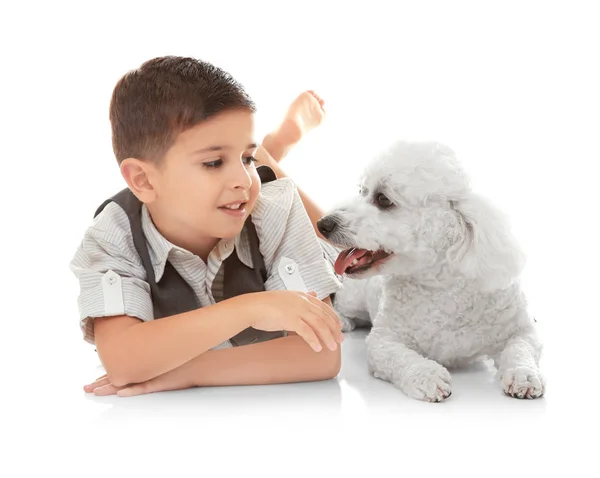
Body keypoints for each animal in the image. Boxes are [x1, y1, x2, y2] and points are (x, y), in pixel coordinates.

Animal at [322, 140, 548, 402]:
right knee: (343, 306)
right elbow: (402, 358)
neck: (441, 285)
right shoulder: (384, 340)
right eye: (362, 191)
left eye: (383, 199)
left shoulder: (520, 330)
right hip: (354, 297)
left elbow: (521, 349)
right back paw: (342, 320)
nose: (323, 223)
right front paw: (428, 376)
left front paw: (524, 376)